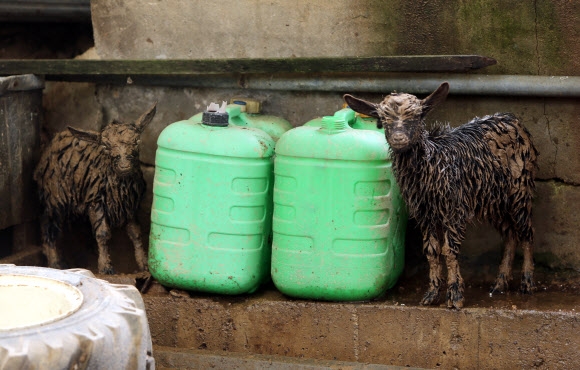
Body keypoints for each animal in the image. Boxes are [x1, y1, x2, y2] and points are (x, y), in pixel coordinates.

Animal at [33, 102, 156, 274]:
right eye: (105, 146)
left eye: (137, 141)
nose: (124, 166)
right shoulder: (95, 202)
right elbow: (103, 234)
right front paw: (106, 268)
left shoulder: (130, 205)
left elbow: (135, 233)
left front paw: (143, 264)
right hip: (53, 198)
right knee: (48, 228)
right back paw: (55, 263)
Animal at [344, 84, 540, 310]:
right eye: (383, 120)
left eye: (417, 117)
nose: (399, 139)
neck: (433, 162)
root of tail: (512, 118)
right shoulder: (424, 213)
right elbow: (431, 250)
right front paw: (431, 294)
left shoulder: (454, 208)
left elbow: (449, 250)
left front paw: (455, 297)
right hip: (494, 199)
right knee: (510, 235)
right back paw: (500, 284)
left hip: (520, 188)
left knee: (527, 232)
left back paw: (527, 283)